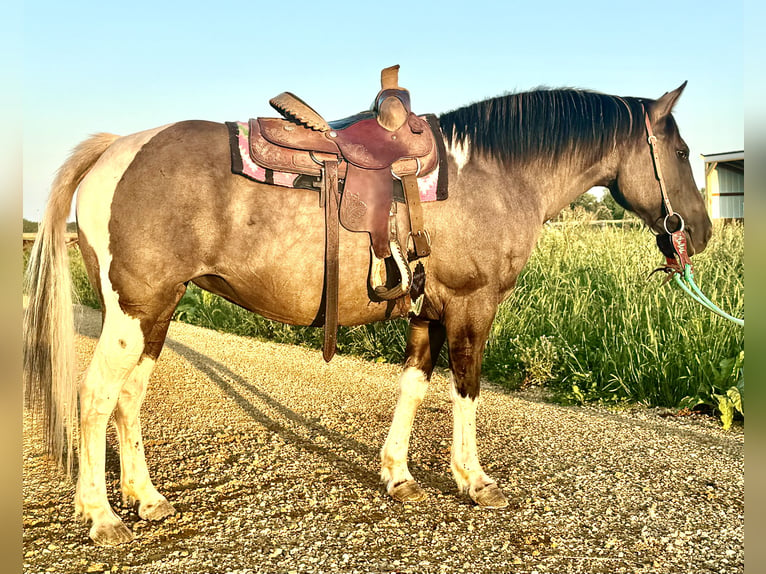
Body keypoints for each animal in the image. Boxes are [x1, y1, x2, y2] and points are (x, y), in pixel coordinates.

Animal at [25, 80, 720, 544]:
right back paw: (101, 515)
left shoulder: (426, 311)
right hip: (134, 311)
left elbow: (412, 387)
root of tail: (118, 148)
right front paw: (474, 480)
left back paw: (147, 498)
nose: (704, 231)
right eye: (684, 154)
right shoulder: (471, 307)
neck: (494, 176)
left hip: (156, 314)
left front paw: (399, 475)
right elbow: (466, 389)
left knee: (128, 397)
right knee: (95, 395)